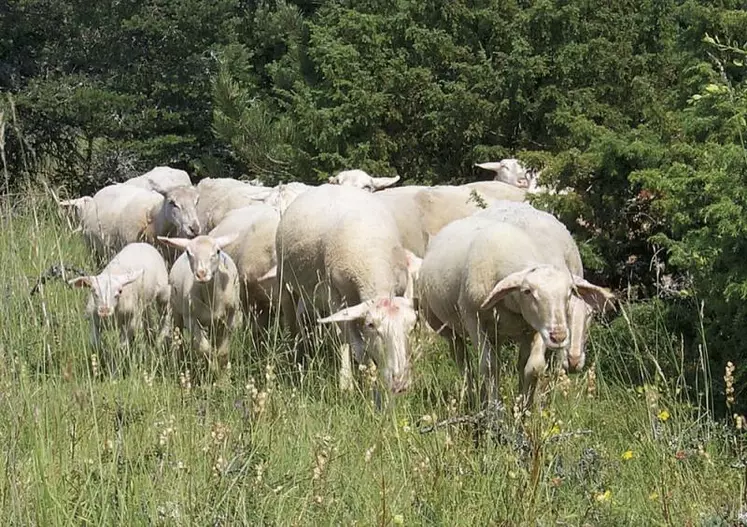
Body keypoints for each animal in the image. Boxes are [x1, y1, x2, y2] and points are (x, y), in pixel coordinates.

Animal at [67, 243, 171, 372]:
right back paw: (151, 340)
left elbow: (122, 347)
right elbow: (95, 344)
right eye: (93, 291)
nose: (104, 310)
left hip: (162, 293)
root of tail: (142, 243)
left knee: (165, 313)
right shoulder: (94, 322)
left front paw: (115, 369)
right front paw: (100, 363)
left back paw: (160, 339)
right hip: (143, 305)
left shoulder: (131, 323)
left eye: (119, 291)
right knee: (148, 321)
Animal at [159, 233, 243, 378]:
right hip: (176, 312)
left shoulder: (230, 318)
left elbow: (223, 352)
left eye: (217, 251)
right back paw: (180, 362)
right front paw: (212, 368)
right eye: (189, 252)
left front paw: (223, 377)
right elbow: (204, 348)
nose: (201, 274)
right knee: (179, 338)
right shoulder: (191, 319)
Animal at [274, 184, 420, 394]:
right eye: (371, 325)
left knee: (305, 315)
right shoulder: (335, 295)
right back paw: (295, 355)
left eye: (412, 324)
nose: (400, 384)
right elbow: (351, 341)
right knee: (292, 314)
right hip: (284, 279)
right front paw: (351, 383)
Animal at [420, 214, 612, 408]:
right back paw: (476, 398)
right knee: (462, 359)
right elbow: (488, 366)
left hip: (497, 332)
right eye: (527, 291)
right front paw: (494, 411)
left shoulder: (535, 326)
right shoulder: (472, 318)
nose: (558, 337)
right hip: (444, 327)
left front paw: (524, 410)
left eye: (570, 292)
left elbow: (533, 367)